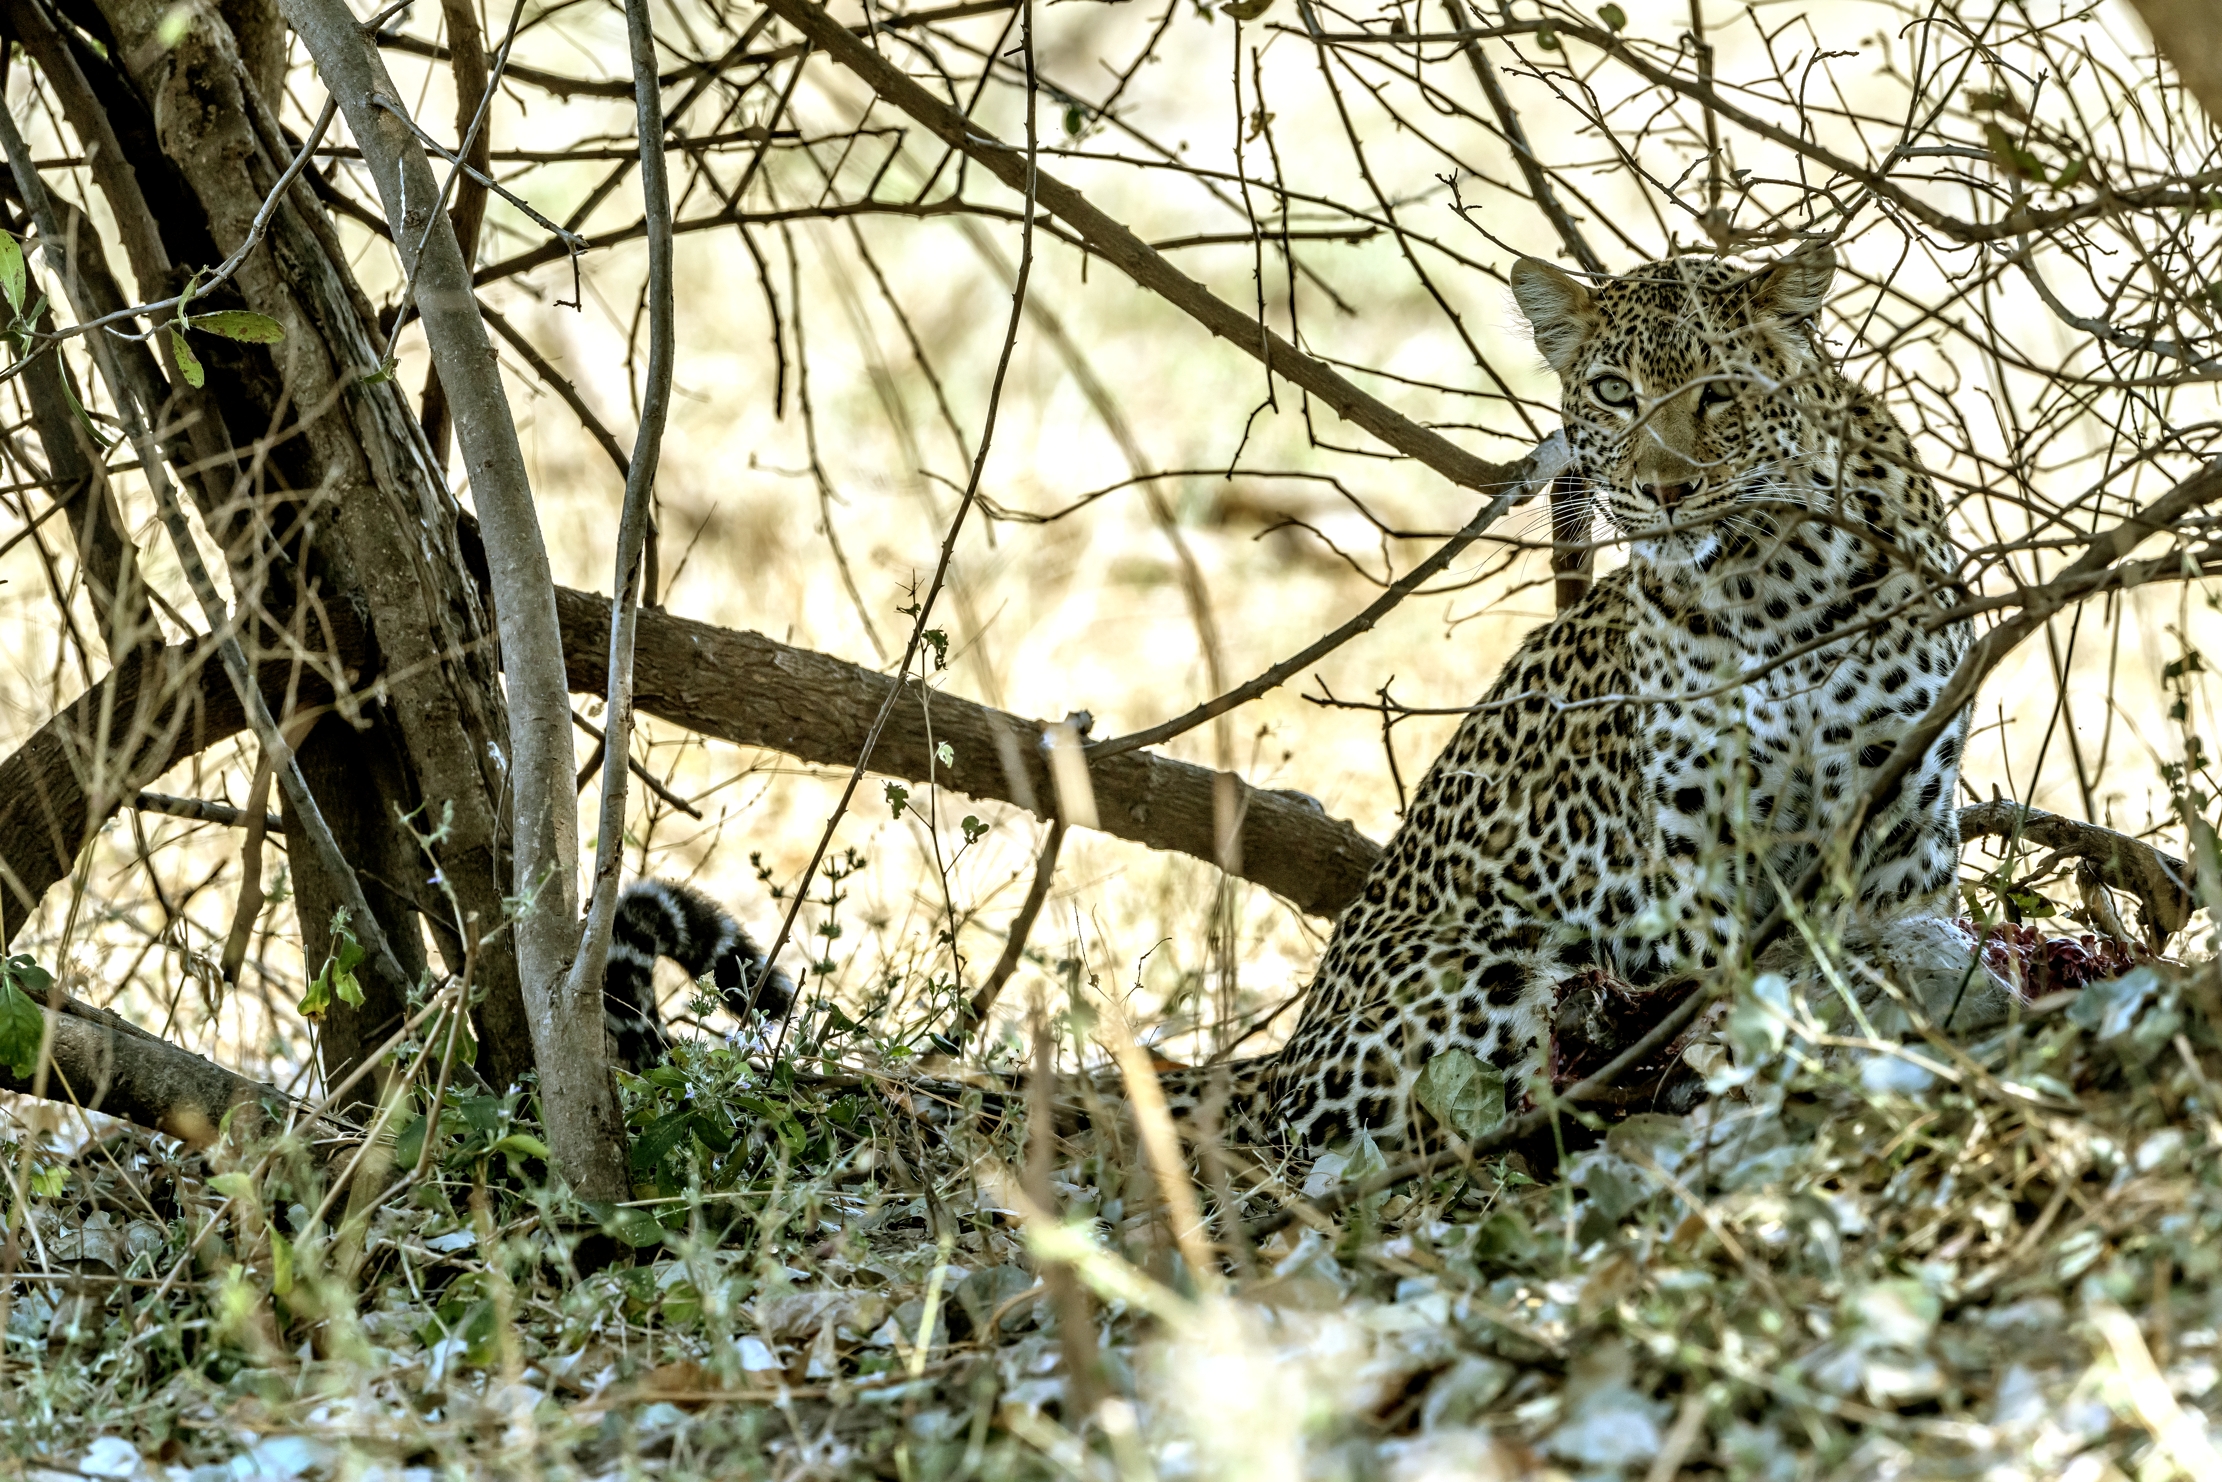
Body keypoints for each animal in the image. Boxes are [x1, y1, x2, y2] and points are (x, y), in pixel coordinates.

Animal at [1190, 246, 1977, 1150]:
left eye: (1719, 388)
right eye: (1612, 391)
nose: (1666, 489)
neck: (1776, 590)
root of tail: (1280, 1062)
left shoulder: (1904, 830)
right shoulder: (1699, 845)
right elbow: (1723, 985)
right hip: (1490, 971)